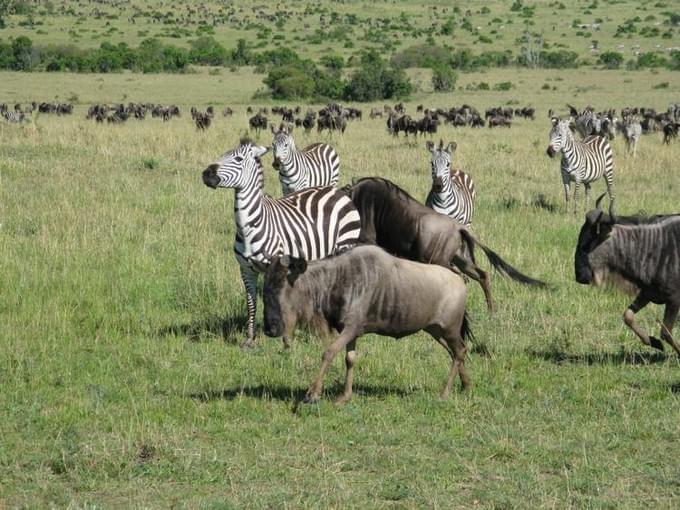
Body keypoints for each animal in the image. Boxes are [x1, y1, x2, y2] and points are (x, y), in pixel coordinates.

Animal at [202, 138, 362, 346]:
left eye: (237, 159)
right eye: (223, 154)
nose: (206, 174)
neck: (248, 226)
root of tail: (337, 191)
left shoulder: (274, 266)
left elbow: (273, 299)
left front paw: (278, 333)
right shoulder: (245, 269)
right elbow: (251, 303)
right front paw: (250, 339)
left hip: (345, 243)